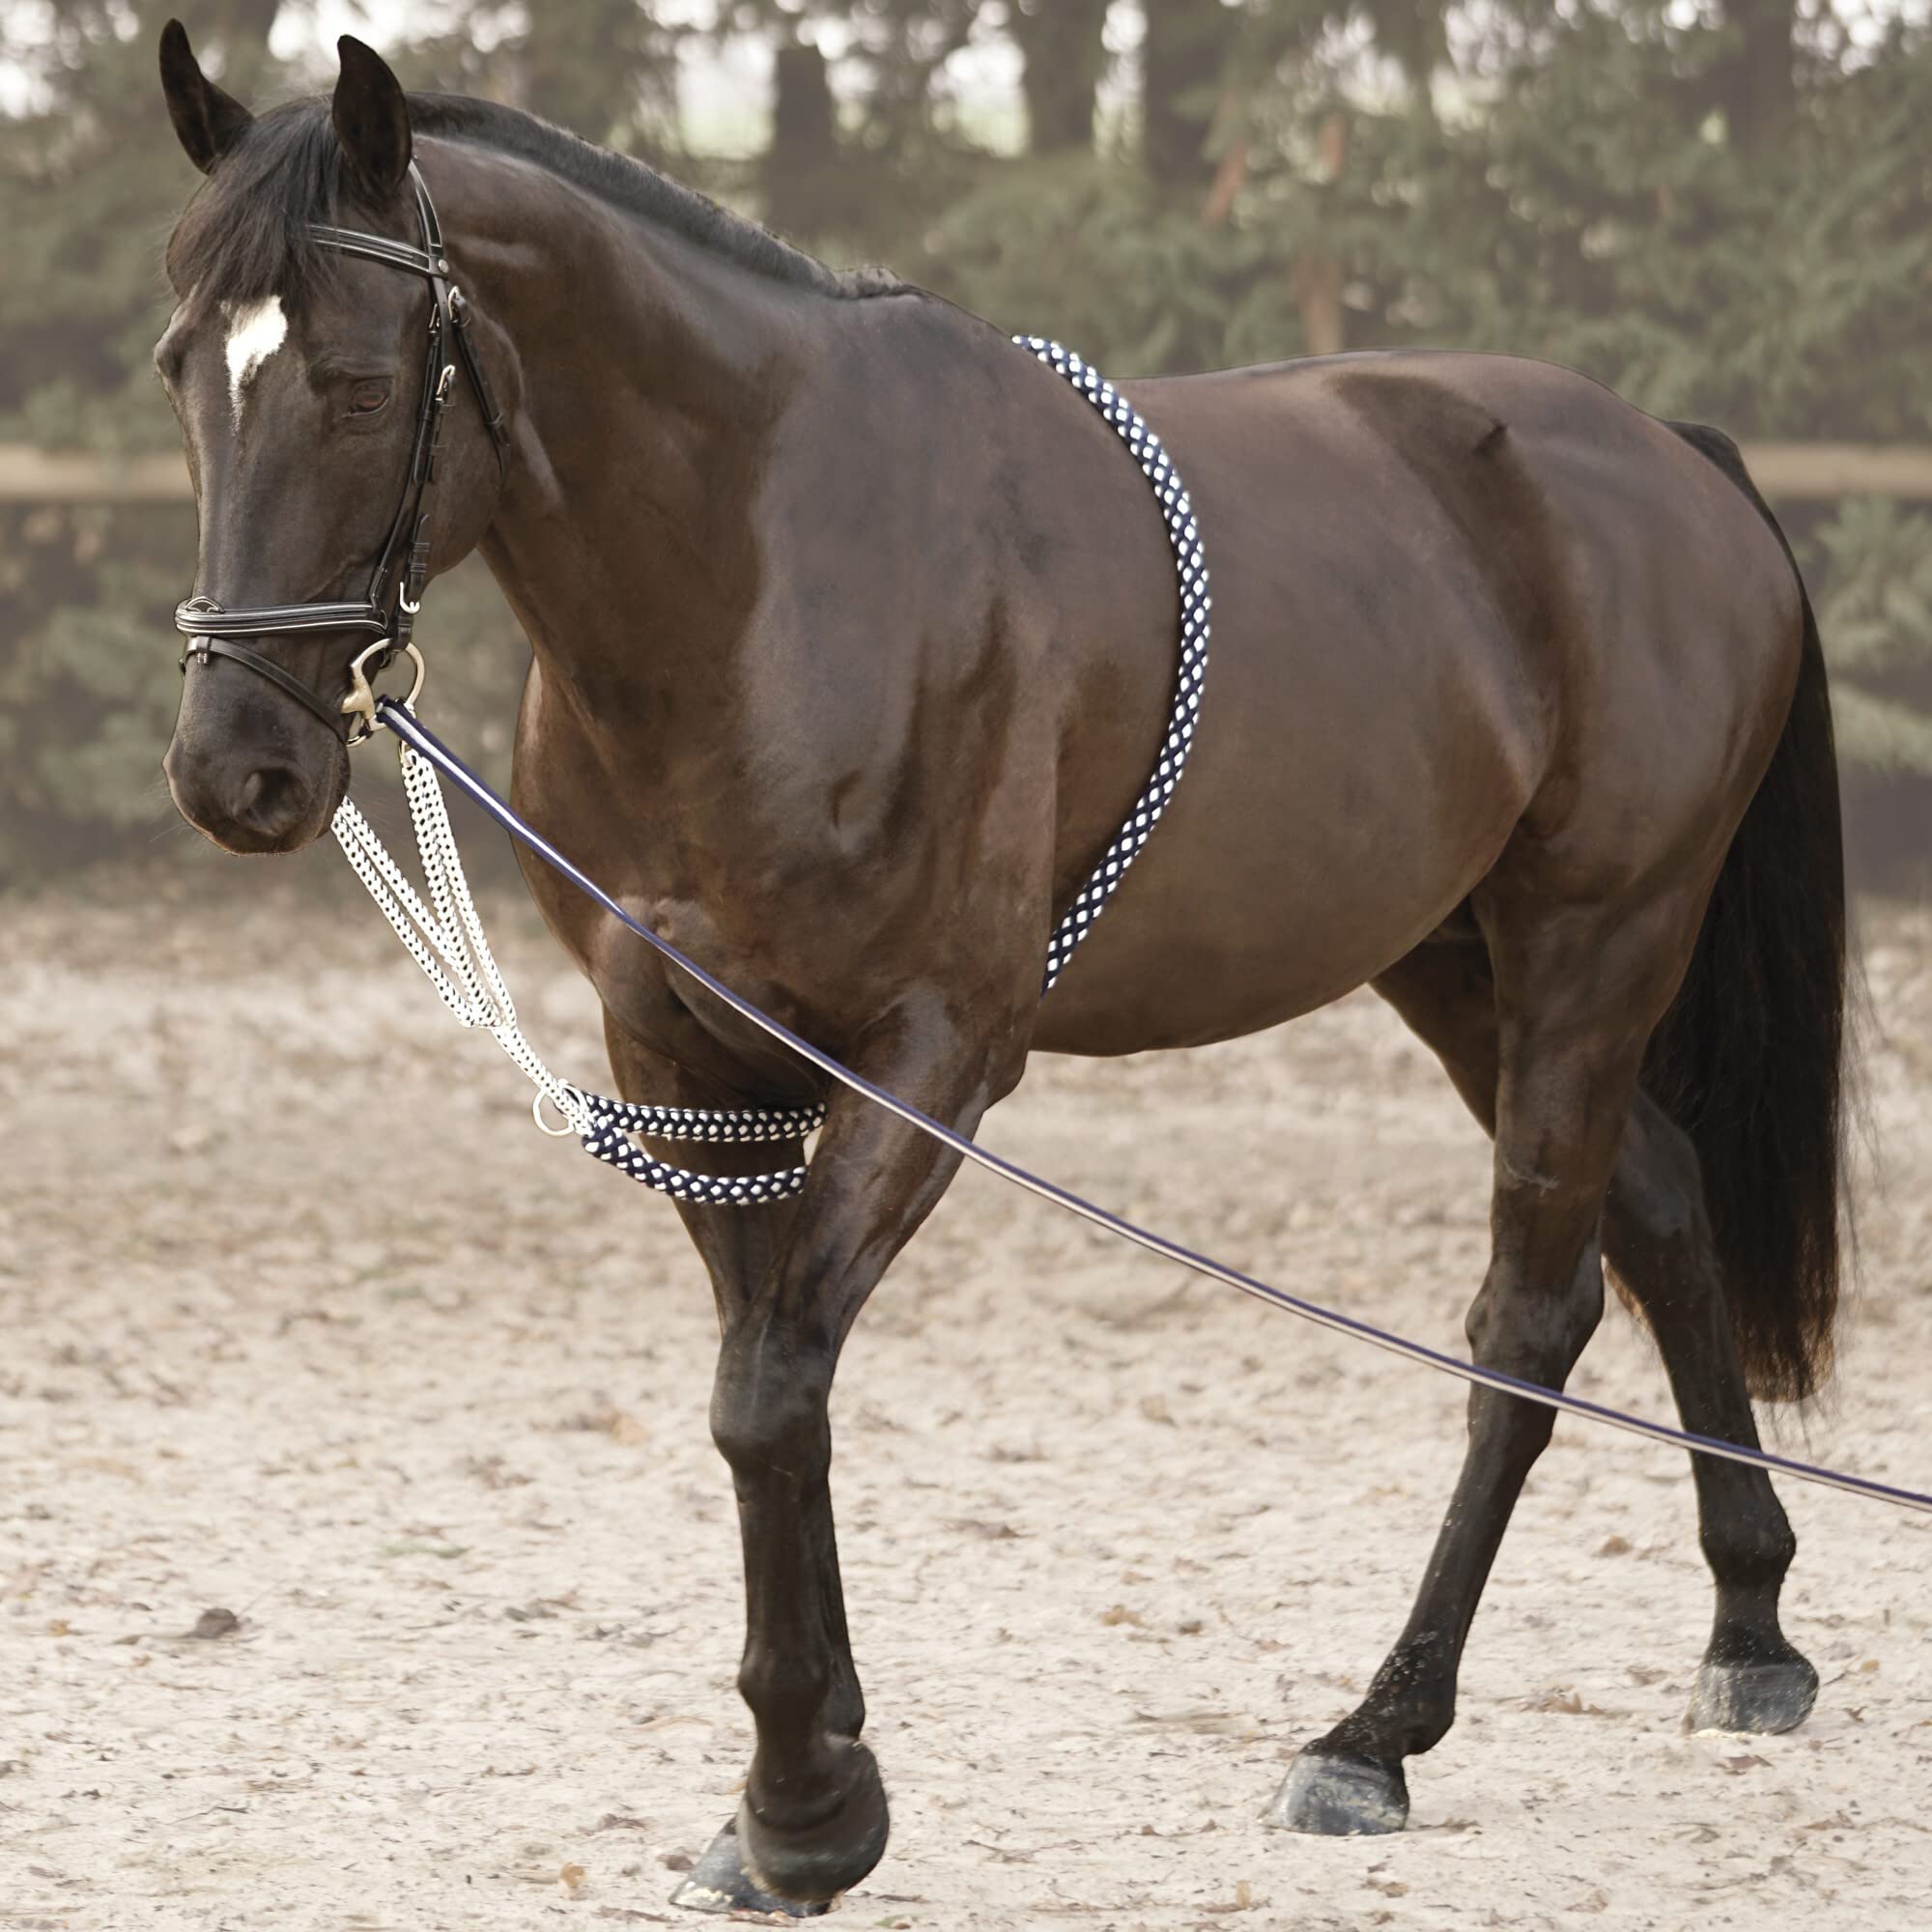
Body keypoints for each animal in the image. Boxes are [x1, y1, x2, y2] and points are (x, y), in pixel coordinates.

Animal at [154, 23, 1849, 1912]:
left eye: (358, 383)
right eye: (181, 371)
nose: (236, 768)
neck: (770, 562)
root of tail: (1674, 458)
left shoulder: (934, 1055)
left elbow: (769, 1395)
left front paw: (808, 1807)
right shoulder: (688, 1057)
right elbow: (768, 1381)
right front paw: (808, 1777)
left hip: (1593, 944)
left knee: (1534, 1311)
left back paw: (1378, 1731)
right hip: (1452, 961)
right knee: (1668, 1210)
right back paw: (1750, 1627)